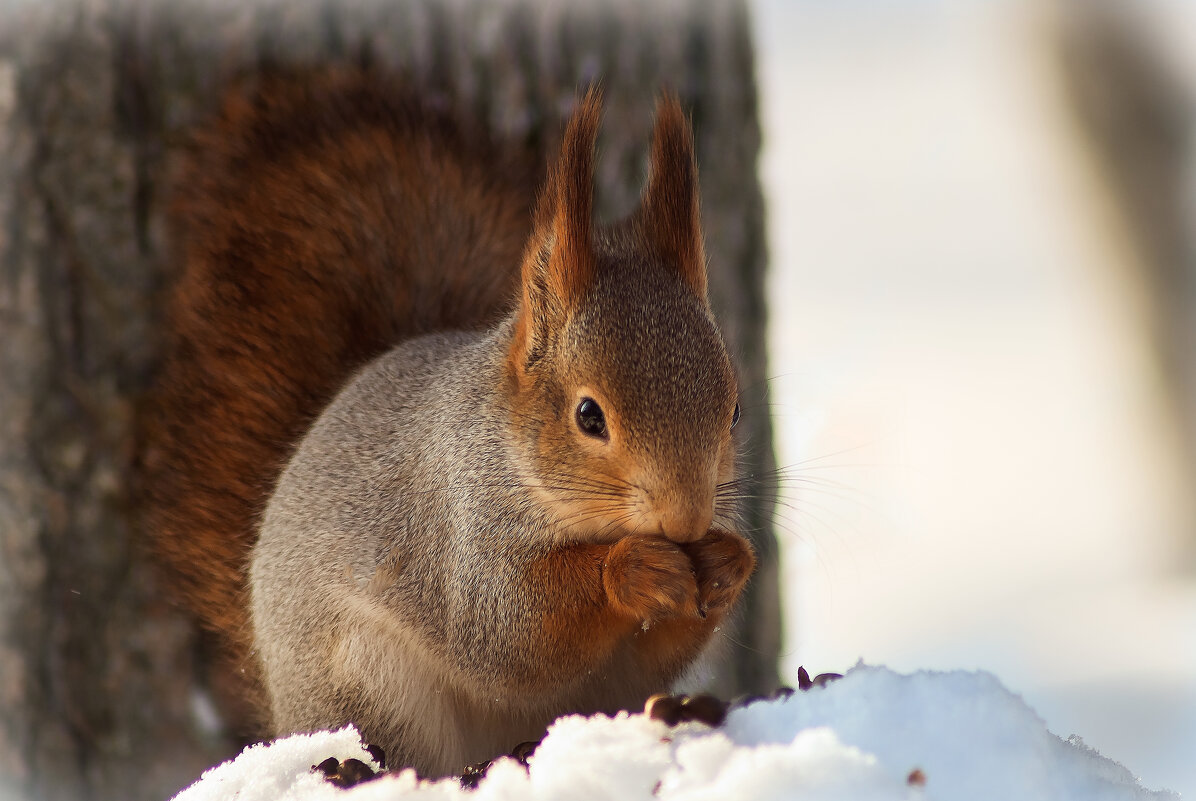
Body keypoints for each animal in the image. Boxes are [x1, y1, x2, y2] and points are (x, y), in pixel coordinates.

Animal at [137, 69, 755, 779]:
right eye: (589, 416)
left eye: (734, 409)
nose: (686, 520)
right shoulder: (455, 529)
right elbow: (510, 631)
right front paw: (635, 570)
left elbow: (657, 648)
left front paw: (727, 561)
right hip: (370, 683)